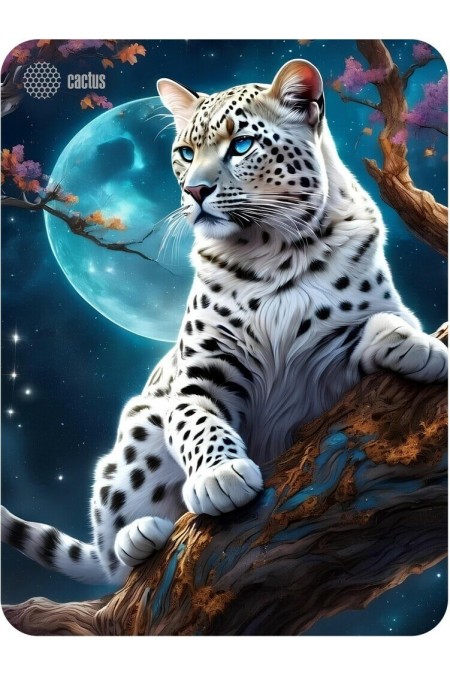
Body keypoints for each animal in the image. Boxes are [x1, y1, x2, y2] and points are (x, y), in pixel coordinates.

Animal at [2, 59, 447, 586]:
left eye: (241, 144)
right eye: (185, 152)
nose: (195, 190)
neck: (275, 251)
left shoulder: (332, 375)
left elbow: (380, 322)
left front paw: (417, 344)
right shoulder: (199, 377)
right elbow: (198, 423)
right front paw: (220, 476)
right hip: (138, 429)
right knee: (112, 550)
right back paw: (139, 536)